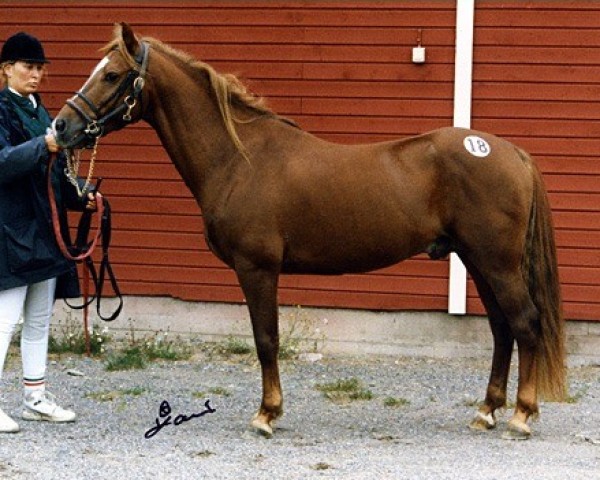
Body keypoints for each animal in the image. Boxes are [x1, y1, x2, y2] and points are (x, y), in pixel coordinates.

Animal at [54, 24, 564, 440]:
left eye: (112, 75)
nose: (62, 125)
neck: (238, 159)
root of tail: (511, 152)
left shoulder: (257, 268)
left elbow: (266, 340)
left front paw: (266, 414)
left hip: (496, 263)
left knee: (524, 323)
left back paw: (520, 415)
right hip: (478, 261)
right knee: (501, 329)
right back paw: (487, 411)